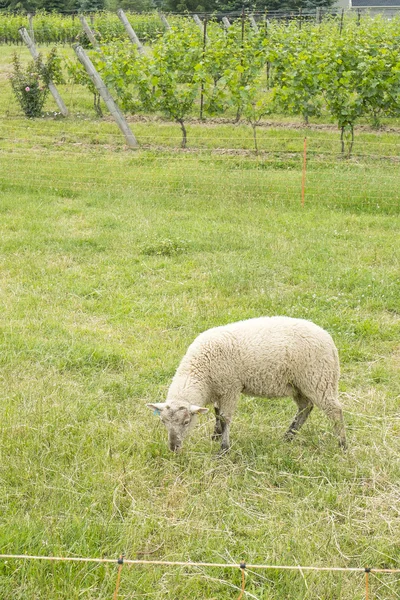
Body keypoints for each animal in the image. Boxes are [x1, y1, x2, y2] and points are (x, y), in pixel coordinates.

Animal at [148, 316, 346, 452]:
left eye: (187, 421)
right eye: (163, 421)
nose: (173, 447)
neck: (200, 371)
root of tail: (328, 338)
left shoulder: (230, 387)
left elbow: (225, 418)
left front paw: (223, 449)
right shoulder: (220, 389)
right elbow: (217, 413)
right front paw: (215, 436)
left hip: (318, 379)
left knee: (335, 410)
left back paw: (342, 445)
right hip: (298, 384)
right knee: (305, 408)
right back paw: (288, 437)